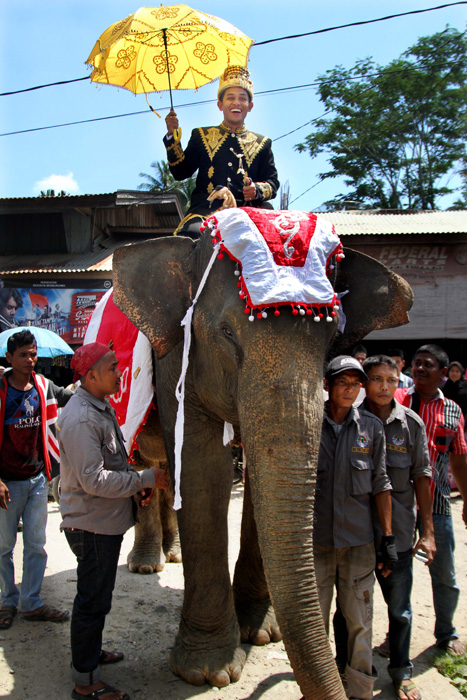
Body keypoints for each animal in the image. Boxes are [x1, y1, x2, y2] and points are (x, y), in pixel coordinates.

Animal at [114, 221, 414, 700]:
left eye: (333, 341)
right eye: (225, 333)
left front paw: (258, 634)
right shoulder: (175, 357)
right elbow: (202, 469)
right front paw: (208, 673)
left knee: (162, 473)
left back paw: (171, 555)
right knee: (150, 463)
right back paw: (146, 565)